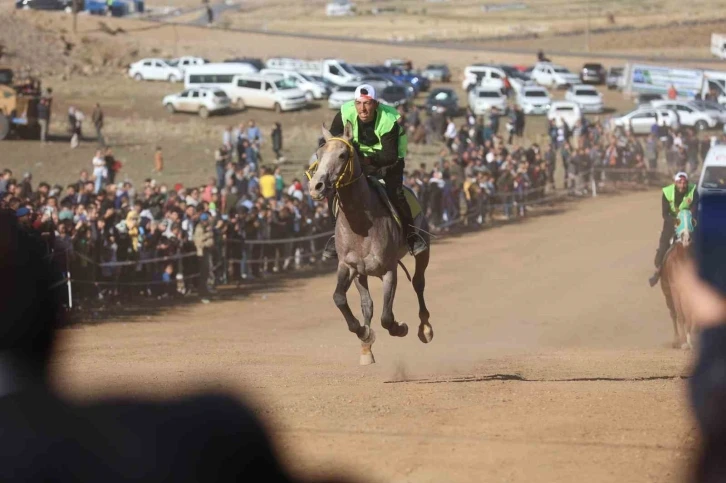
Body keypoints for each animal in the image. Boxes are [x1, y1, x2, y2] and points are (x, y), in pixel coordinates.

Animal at [308, 123, 432, 364]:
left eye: (343, 155)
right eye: (318, 153)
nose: (316, 186)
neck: (361, 224)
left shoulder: (389, 270)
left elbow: (387, 317)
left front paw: (400, 327)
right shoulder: (349, 266)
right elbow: (340, 298)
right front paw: (363, 333)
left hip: (424, 249)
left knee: (418, 283)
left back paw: (425, 328)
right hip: (361, 273)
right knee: (367, 304)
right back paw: (366, 348)